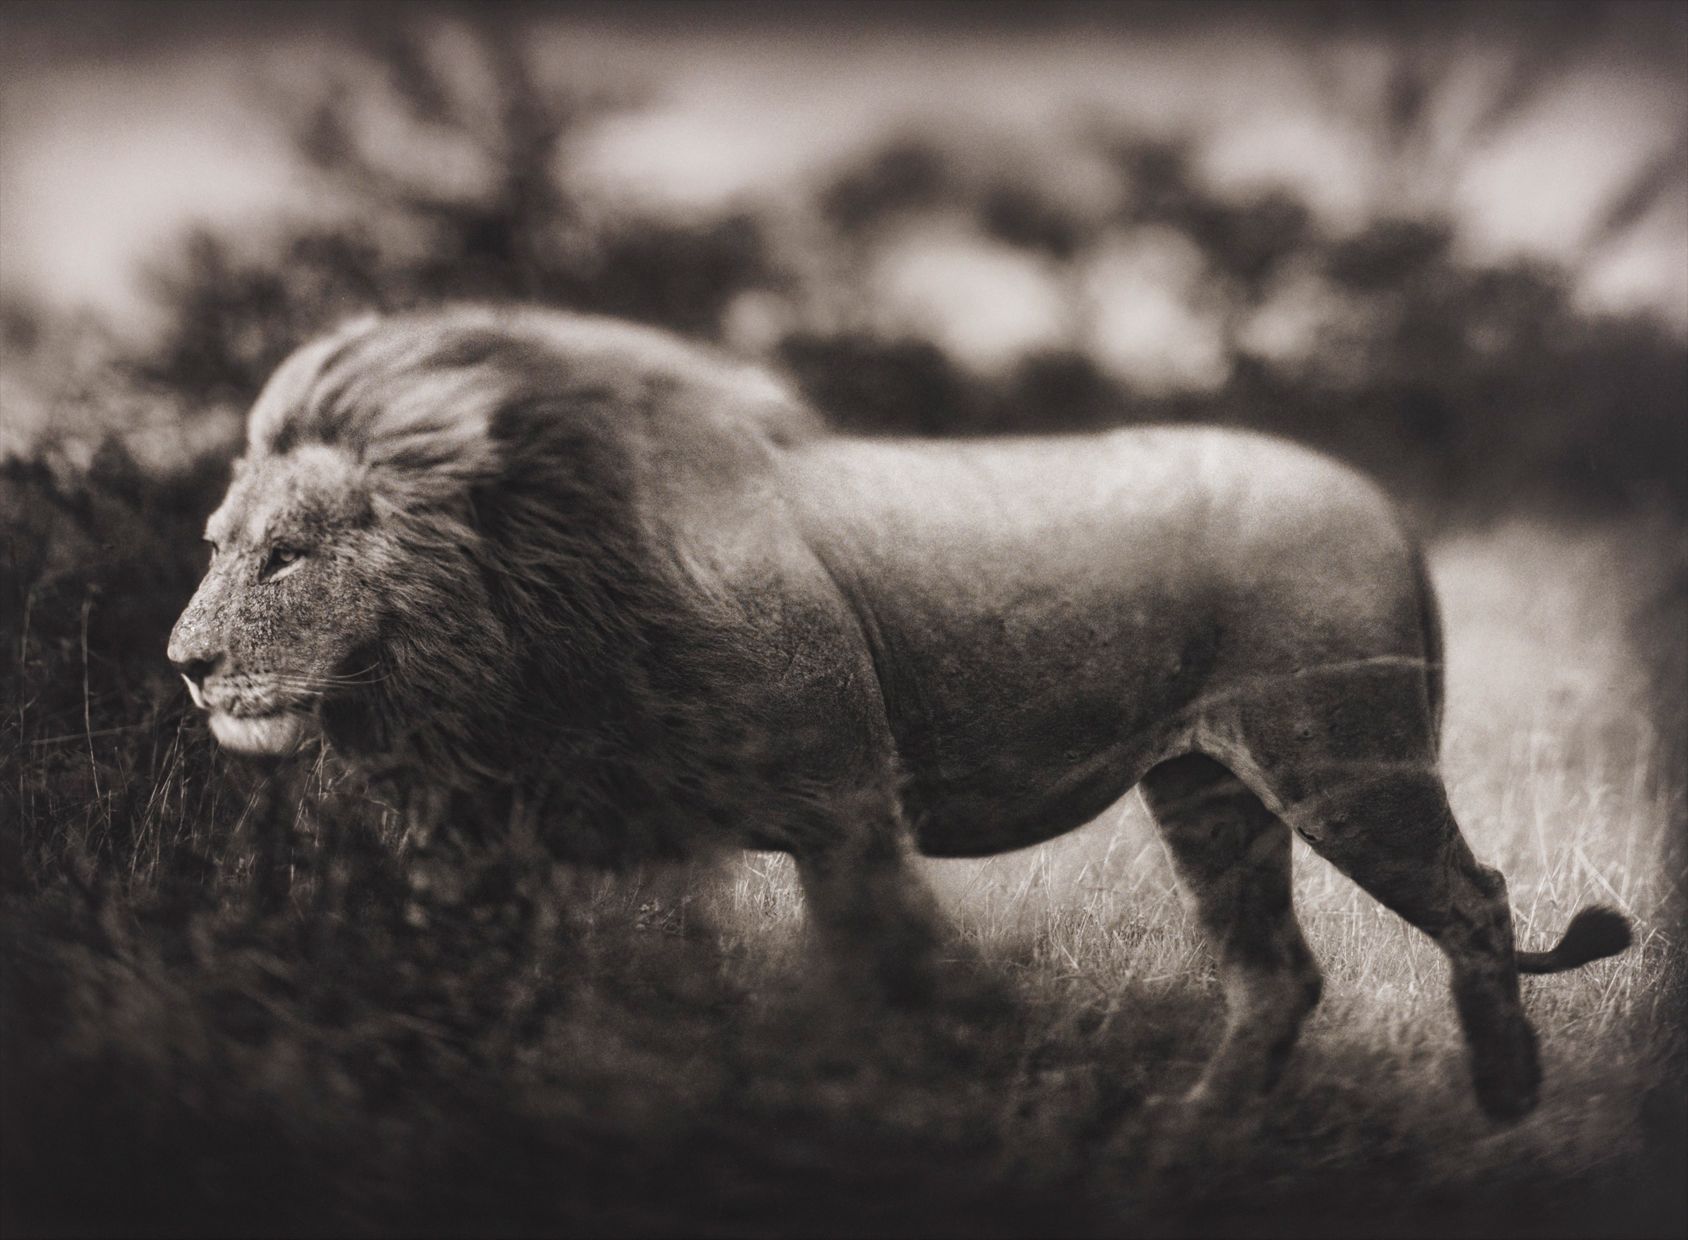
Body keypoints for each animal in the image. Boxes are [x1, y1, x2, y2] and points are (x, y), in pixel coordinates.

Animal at [169, 305, 1630, 1121]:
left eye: (286, 558)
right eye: (217, 544)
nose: (183, 661)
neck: (524, 602)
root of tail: (1380, 499)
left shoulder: (843, 807)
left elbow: (898, 981)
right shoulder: (481, 838)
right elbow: (461, 984)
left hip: (1343, 764)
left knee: (1475, 899)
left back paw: (1505, 1107)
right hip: (1208, 794)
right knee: (1279, 971)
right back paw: (1188, 1138)